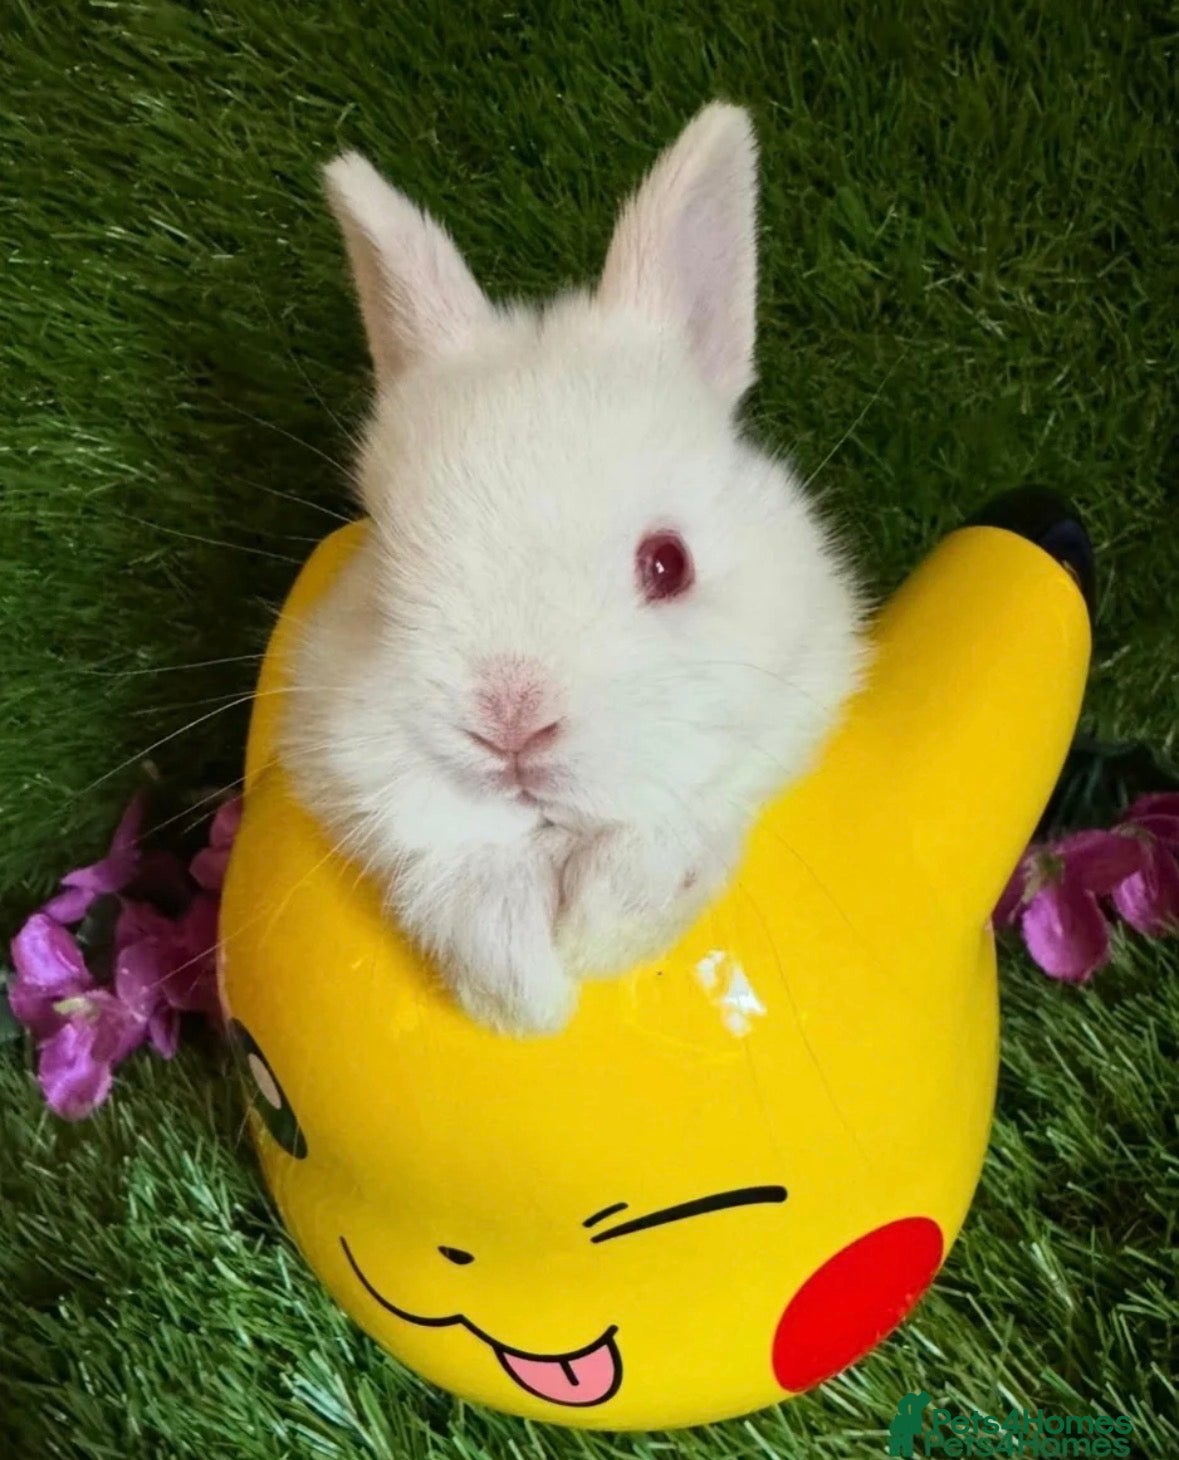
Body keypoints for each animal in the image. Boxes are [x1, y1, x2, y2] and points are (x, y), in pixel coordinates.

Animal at [280, 103, 866, 1036]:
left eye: (667, 564)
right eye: (390, 572)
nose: (510, 727)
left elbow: (682, 815)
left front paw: (600, 934)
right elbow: (450, 865)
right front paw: (518, 992)